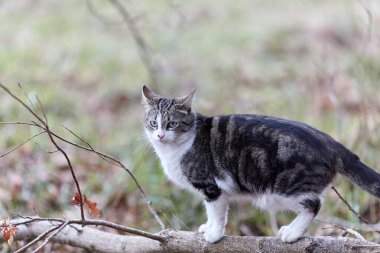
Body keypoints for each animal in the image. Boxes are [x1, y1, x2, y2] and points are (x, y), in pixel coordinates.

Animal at [142, 86, 380, 244]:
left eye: (172, 124)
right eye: (153, 123)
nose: (160, 135)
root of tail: (329, 141)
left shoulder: (211, 186)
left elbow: (216, 212)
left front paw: (214, 234)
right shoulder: (215, 191)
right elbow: (213, 213)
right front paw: (206, 227)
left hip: (280, 191)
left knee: (314, 204)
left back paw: (292, 233)